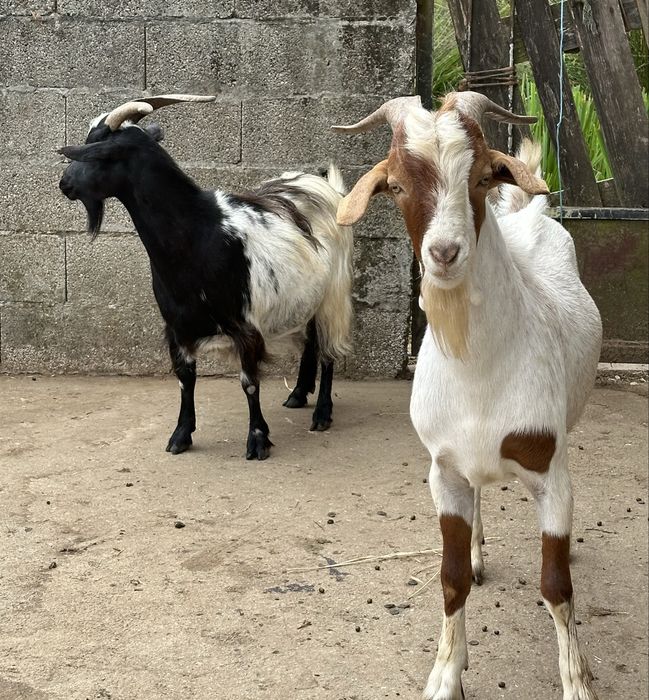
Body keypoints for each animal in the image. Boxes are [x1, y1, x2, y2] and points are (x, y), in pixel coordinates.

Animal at [58, 94, 353, 460]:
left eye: (99, 153)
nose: (65, 183)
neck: (199, 234)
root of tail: (327, 187)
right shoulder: (177, 326)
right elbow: (185, 379)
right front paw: (180, 435)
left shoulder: (245, 325)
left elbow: (249, 382)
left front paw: (258, 439)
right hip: (305, 295)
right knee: (312, 340)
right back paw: (298, 394)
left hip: (334, 293)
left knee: (328, 350)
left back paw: (323, 413)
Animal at [333, 92, 602, 700]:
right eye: (396, 185)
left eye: (480, 177)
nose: (445, 252)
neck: (480, 370)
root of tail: (526, 212)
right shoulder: (443, 470)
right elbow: (451, 579)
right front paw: (444, 676)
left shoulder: (549, 468)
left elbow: (557, 586)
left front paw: (577, 682)